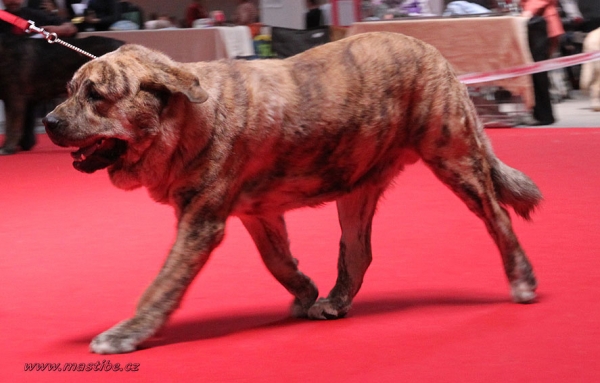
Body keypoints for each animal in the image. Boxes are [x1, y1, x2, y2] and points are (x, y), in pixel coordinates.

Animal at [42, 31, 540, 356]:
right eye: (69, 90)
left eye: (95, 95)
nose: (48, 121)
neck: (185, 120)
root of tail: (435, 53)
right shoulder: (256, 215)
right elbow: (277, 261)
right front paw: (305, 291)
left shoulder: (199, 222)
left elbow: (161, 285)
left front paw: (127, 333)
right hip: (356, 188)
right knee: (357, 252)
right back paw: (335, 301)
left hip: (454, 158)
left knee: (498, 218)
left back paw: (522, 280)